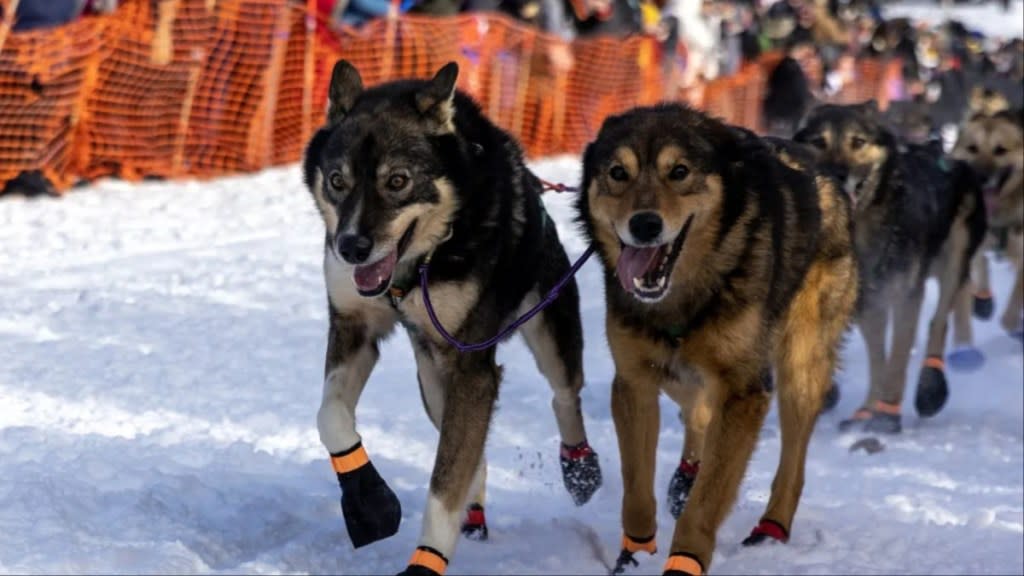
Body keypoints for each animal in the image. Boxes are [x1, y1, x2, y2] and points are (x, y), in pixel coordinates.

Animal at [299, 59, 598, 573]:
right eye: (337, 181)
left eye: (397, 181)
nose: (351, 247)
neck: (418, 264)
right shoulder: (354, 328)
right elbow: (330, 417)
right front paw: (368, 499)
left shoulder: (472, 366)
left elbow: (444, 484)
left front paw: (426, 558)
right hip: (432, 377)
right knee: (471, 452)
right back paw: (473, 513)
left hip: (547, 328)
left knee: (564, 394)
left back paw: (580, 468)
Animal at [577, 104, 856, 573]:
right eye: (618, 173)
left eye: (679, 171)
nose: (645, 224)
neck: (684, 297)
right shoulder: (635, 380)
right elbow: (637, 489)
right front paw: (634, 554)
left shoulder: (745, 390)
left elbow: (706, 504)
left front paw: (683, 561)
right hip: (682, 374)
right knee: (698, 412)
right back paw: (685, 477)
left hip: (800, 367)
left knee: (793, 460)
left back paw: (771, 528)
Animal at [794, 100, 987, 430]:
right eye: (819, 142)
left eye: (858, 142)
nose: (838, 174)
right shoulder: (867, 300)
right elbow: (878, 357)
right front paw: (868, 409)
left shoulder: (905, 293)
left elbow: (897, 354)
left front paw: (887, 413)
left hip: (955, 254)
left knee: (940, 319)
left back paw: (931, 387)